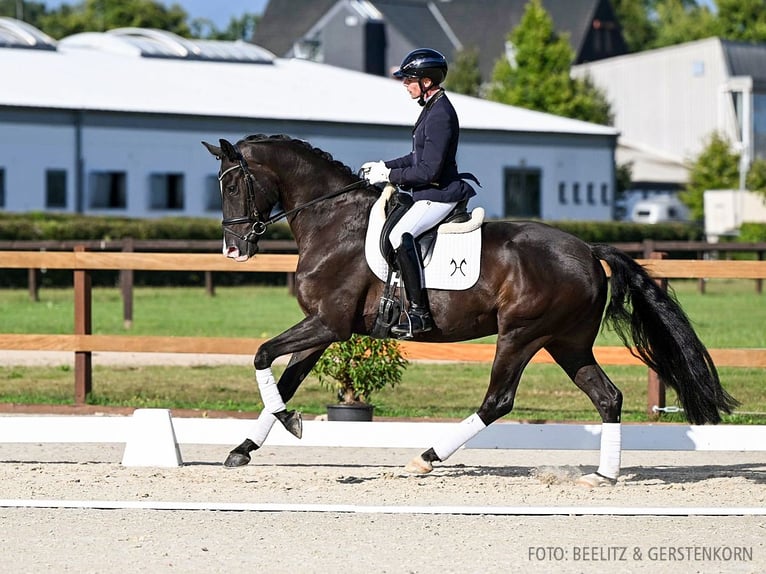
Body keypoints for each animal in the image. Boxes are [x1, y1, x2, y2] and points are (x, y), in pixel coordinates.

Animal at [202, 136, 736, 490]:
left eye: (233, 186)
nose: (233, 249)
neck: (332, 222)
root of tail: (587, 249)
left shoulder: (327, 323)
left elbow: (260, 355)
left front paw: (286, 423)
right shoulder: (325, 329)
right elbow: (285, 378)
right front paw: (247, 446)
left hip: (521, 335)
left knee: (498, 401)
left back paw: (426, 457)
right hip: (567, 342)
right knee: (607, 397)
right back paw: (602, 475)